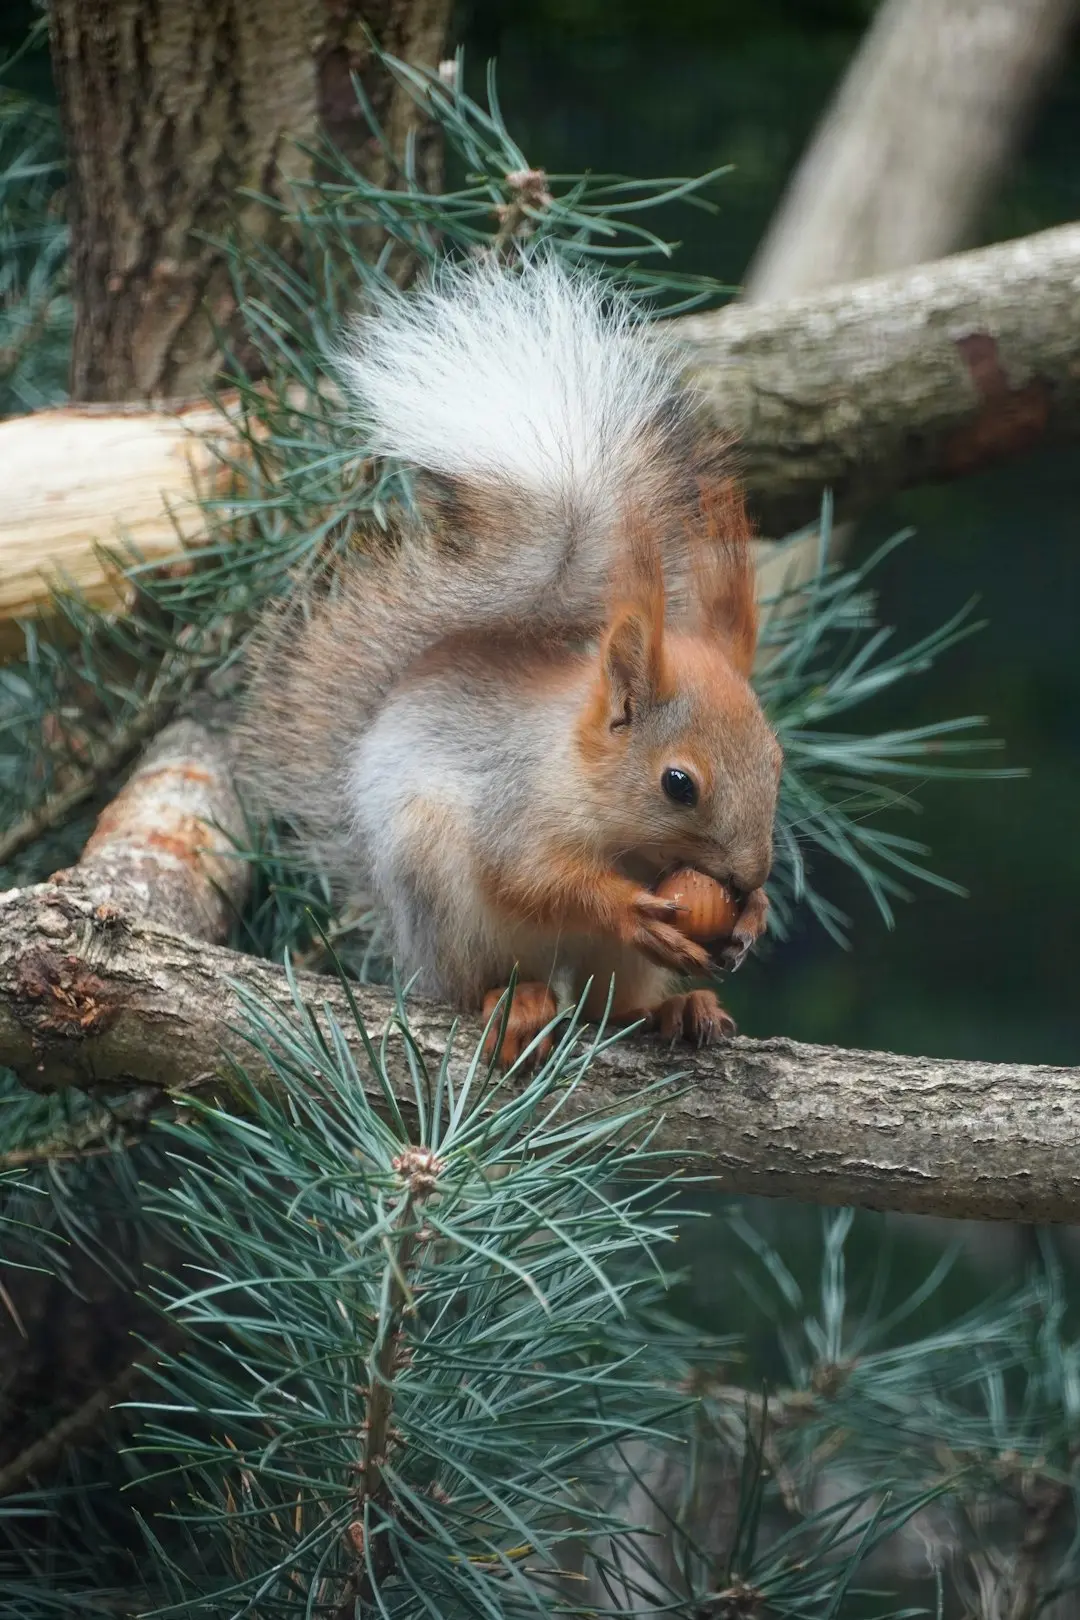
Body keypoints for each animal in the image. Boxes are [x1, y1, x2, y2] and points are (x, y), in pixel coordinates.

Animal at [238, 255, 782, 1067]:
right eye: (678, 784)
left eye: (779, 762)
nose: (748, 876)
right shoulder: (511, 803)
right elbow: (529, 877)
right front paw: (624, 906)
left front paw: (755, 917)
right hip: (440, 898)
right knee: (480, 983)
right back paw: (513, 1002)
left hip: (606, 969)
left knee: (613, 1003)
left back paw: (674, 1011)